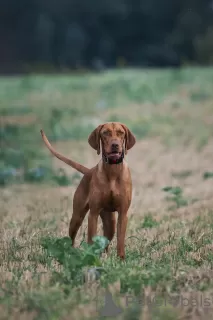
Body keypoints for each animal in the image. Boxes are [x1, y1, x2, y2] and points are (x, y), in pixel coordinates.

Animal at [40, 122, 136, 260]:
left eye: (120, 133)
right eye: (105, 133)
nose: (115, 145)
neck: (112, 171)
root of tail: (89, 170)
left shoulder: (123, 214)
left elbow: (120, 239)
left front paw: (121, 259)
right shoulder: (93, 214)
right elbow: (91, 238)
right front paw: (91, 257)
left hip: (110, 222)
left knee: (106, 240)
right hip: (77, 217)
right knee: (71, 237)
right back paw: (71, 253)